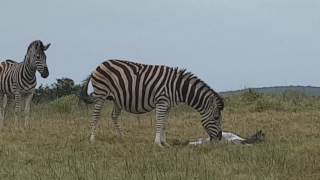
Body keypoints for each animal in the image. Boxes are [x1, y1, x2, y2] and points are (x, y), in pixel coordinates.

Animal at [81, 59, 224, 147]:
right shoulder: (162, 101)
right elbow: (159, 122)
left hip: (117, 99)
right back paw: (92, 139)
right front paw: (158, 143)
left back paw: (122, 137)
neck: (178, 87)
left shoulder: (168, 106)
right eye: (216, 117)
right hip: (101, 93)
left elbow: (165, 124)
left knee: (114, 116)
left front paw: (165, 143)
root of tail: (99, 66)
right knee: (95, 115)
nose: (220, 138)